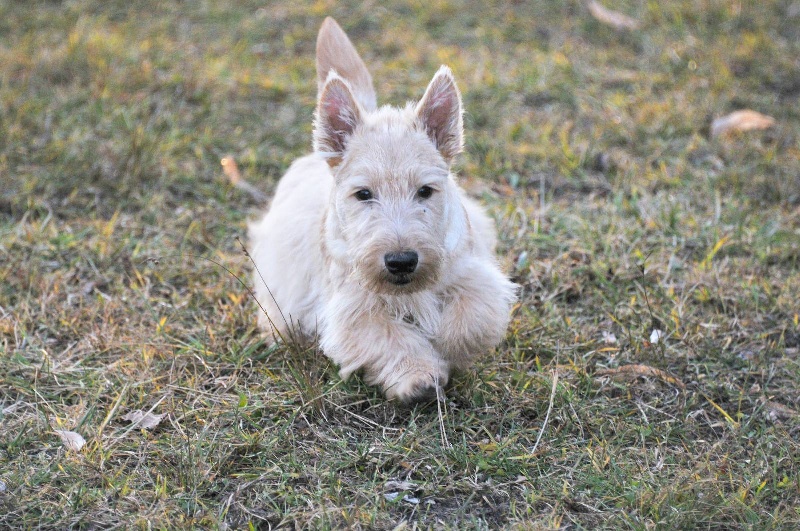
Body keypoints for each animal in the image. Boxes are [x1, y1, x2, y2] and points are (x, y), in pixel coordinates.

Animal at [247, 15, 516, 404]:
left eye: (425, 191)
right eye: (363, 194)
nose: (401, 261)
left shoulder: (473, 274)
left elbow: (468, 320)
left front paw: (447, 351)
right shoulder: (354, 311)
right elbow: (390, 338)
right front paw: (419, 375)